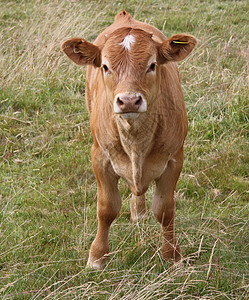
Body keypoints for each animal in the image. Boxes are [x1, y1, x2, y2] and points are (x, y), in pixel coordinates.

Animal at [61, 9, 196, 270]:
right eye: (105, 67)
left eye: (152, 65)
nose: (130, 100)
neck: (136, 141)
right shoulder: (100, 158)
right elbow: (106, 209)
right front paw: (97, 256)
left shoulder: (174, 159)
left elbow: (165, 210)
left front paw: (172, 255)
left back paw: (139, 211)